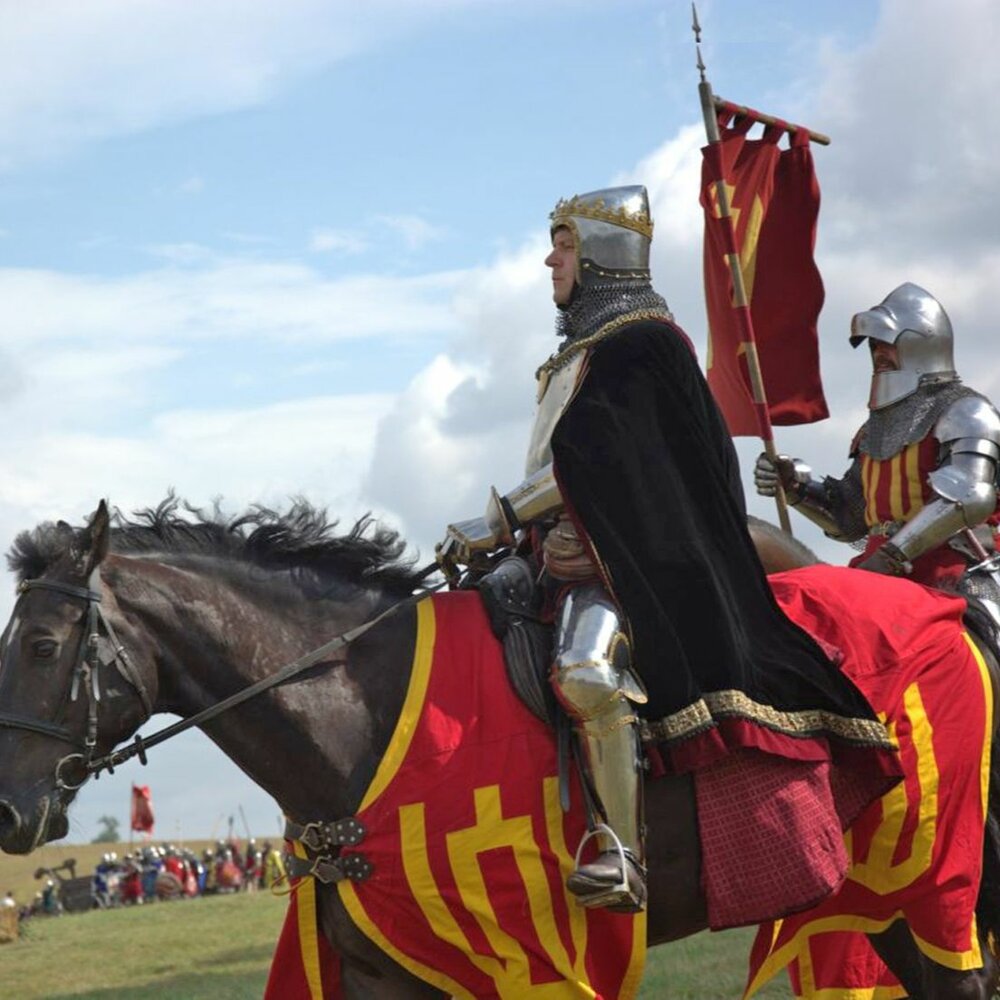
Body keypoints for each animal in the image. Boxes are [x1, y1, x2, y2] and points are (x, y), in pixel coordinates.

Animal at [0, 504, 996, 996]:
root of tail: (954, 616)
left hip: (924, 884)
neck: (357, 716)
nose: (11, 814)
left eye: (42, 647)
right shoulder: (383, 972)